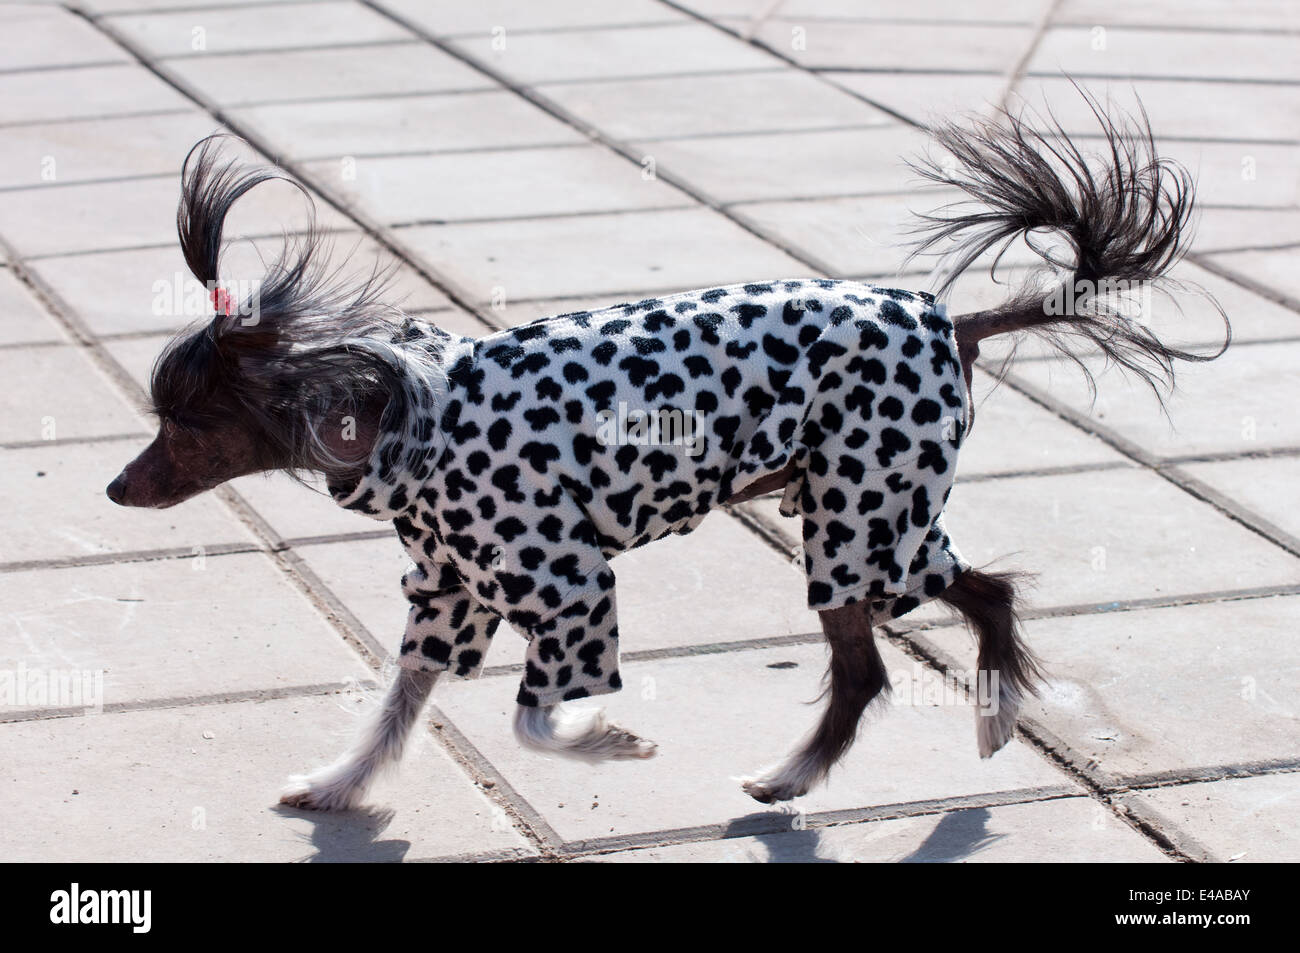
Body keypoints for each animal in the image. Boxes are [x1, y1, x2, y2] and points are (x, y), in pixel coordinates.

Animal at [106, 96, 1222, 811]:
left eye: (181, 426)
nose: (116, 487)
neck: (408, 415)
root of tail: (952, 320)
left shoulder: (566, 584)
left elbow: (532, 718)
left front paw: (610, 738)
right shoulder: (450, 593)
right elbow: (401, 701)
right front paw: (339, 785)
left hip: (866, 513)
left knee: (966, 602)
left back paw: (974, 721)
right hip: (848, 518)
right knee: (889, 653)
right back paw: (801, 774)